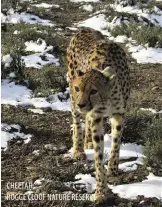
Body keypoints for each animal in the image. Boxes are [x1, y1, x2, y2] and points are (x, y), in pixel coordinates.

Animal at [66, 26, 130, 201]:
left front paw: (112, 170)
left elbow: (116, 144)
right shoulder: (96, 118)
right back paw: (78, 150)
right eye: (78, 88)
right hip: (72, 100)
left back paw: (86, 140)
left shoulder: (119, 115)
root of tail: (84, 28)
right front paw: (101, 190)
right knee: (77, 122)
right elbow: (98, 156)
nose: (81, 104)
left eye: (93, 90)